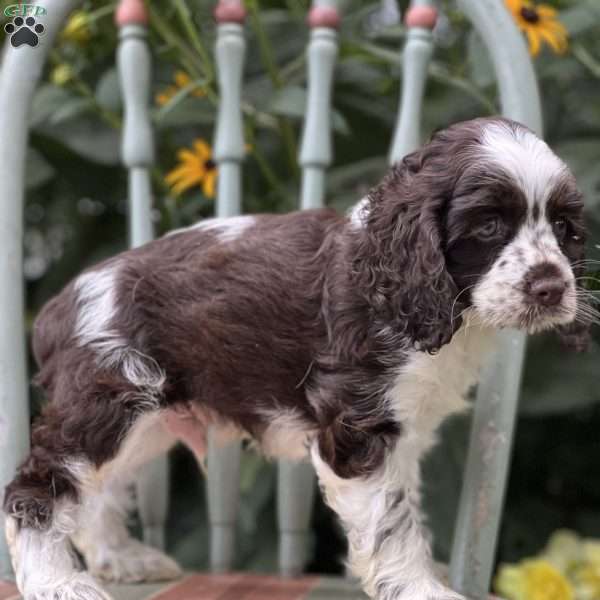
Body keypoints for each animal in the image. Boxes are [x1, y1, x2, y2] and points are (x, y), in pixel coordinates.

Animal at [2, 117, 592, 600]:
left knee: (99, 491)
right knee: (35, 484)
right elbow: (393, 520)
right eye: (489, 226)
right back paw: (58, 584)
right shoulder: (357, 427)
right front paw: (420, 589)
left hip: (146, 420)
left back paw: (120, 560)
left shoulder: (406, 427)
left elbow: (404, 510)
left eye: (564, 229)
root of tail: (60, 304)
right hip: (108, 402)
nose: (552, 288)